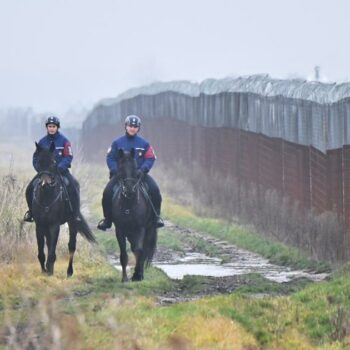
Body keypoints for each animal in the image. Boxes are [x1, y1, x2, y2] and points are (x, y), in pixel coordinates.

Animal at [30, 142, 95, 276]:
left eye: (53, 162)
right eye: (38, 161)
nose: (44, 183)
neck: (47, 198)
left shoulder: (54, 225)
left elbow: (52, 251)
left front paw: (49, 271)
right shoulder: (40, 225)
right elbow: (41, 251)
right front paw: (44, 270)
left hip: (72, 222)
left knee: (71, 246)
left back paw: (69, 272)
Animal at [112, 148, 157, 282]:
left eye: (135, 168)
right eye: (121, 168)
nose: (129, 189)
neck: (129, 204)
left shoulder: (140, 228)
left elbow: (139, 250)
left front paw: (137, 275)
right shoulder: (120, 229)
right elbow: (124, 254)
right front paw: (124, 278)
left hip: (149, 229)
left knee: (143, 250)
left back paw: (140, 273)